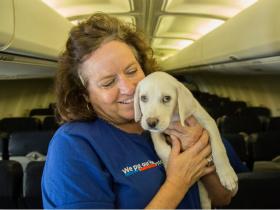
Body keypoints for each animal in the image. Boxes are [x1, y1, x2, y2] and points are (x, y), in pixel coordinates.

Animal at [135, 72, 237, 208]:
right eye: (143, 98)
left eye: (166, 98)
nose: (151, 122)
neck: (174, 117)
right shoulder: (156, 133)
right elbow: (161, 148)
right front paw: (169, 164)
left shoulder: (208, 122)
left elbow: (219, 148)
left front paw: (227, 174)